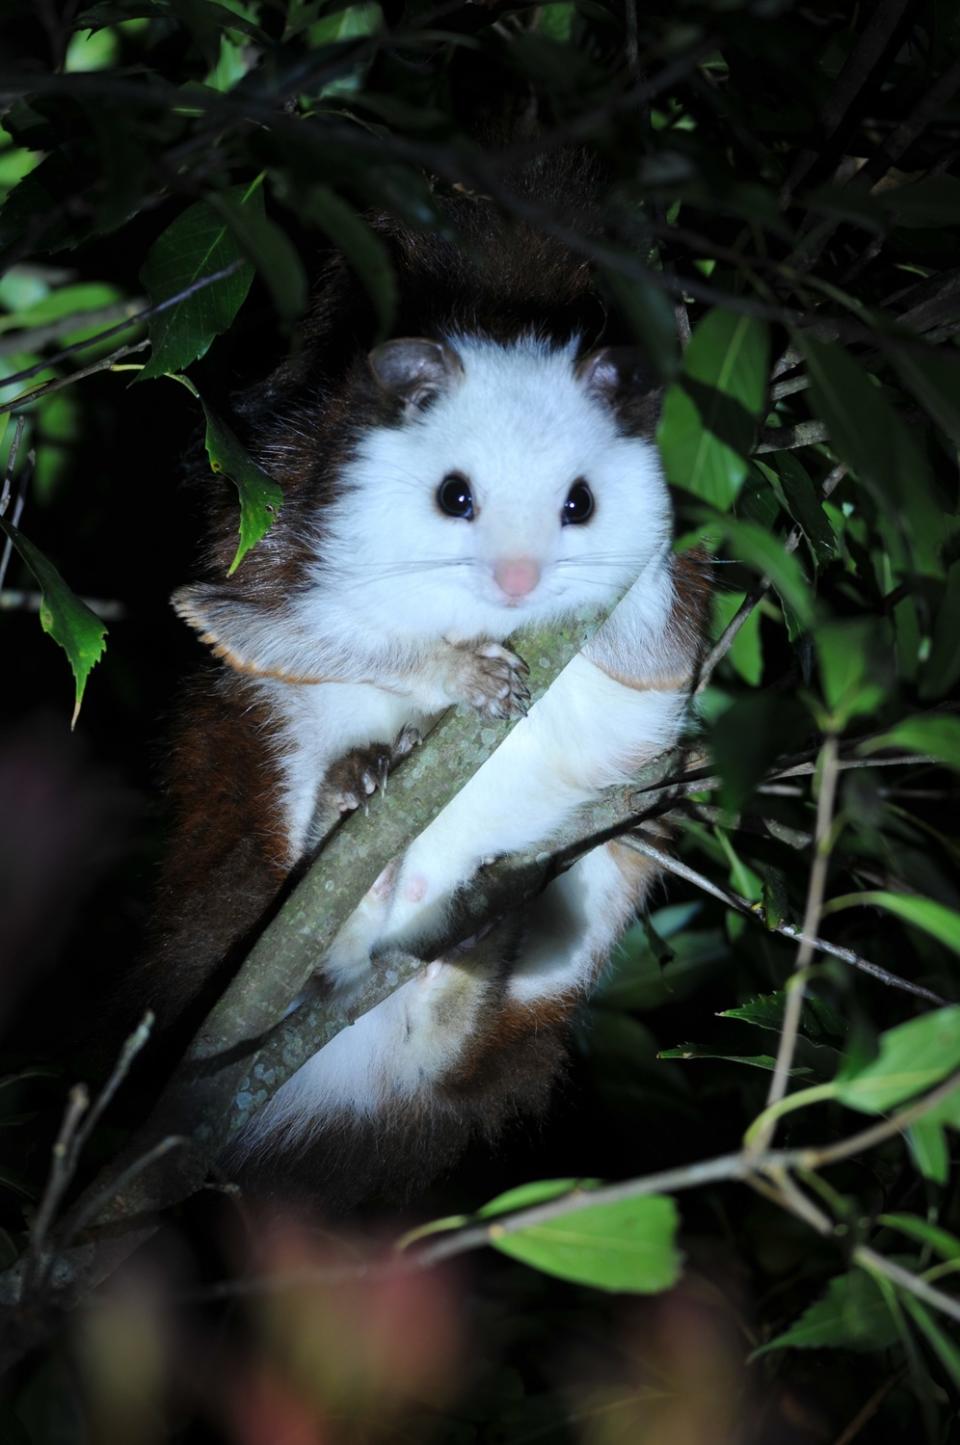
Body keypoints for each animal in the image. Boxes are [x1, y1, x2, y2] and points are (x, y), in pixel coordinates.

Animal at [142, 152, 711, 1202]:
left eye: (580, 502)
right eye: (455, 496)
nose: (518, 581)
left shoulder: (666, 615)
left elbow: (657, 653)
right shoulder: (286, 540)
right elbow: (253, 622)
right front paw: (465, 673)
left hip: (594, 891)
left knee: (470, 1023)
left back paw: (488, 938)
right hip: (251, 799)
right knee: (306, 898)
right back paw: (352, 799)